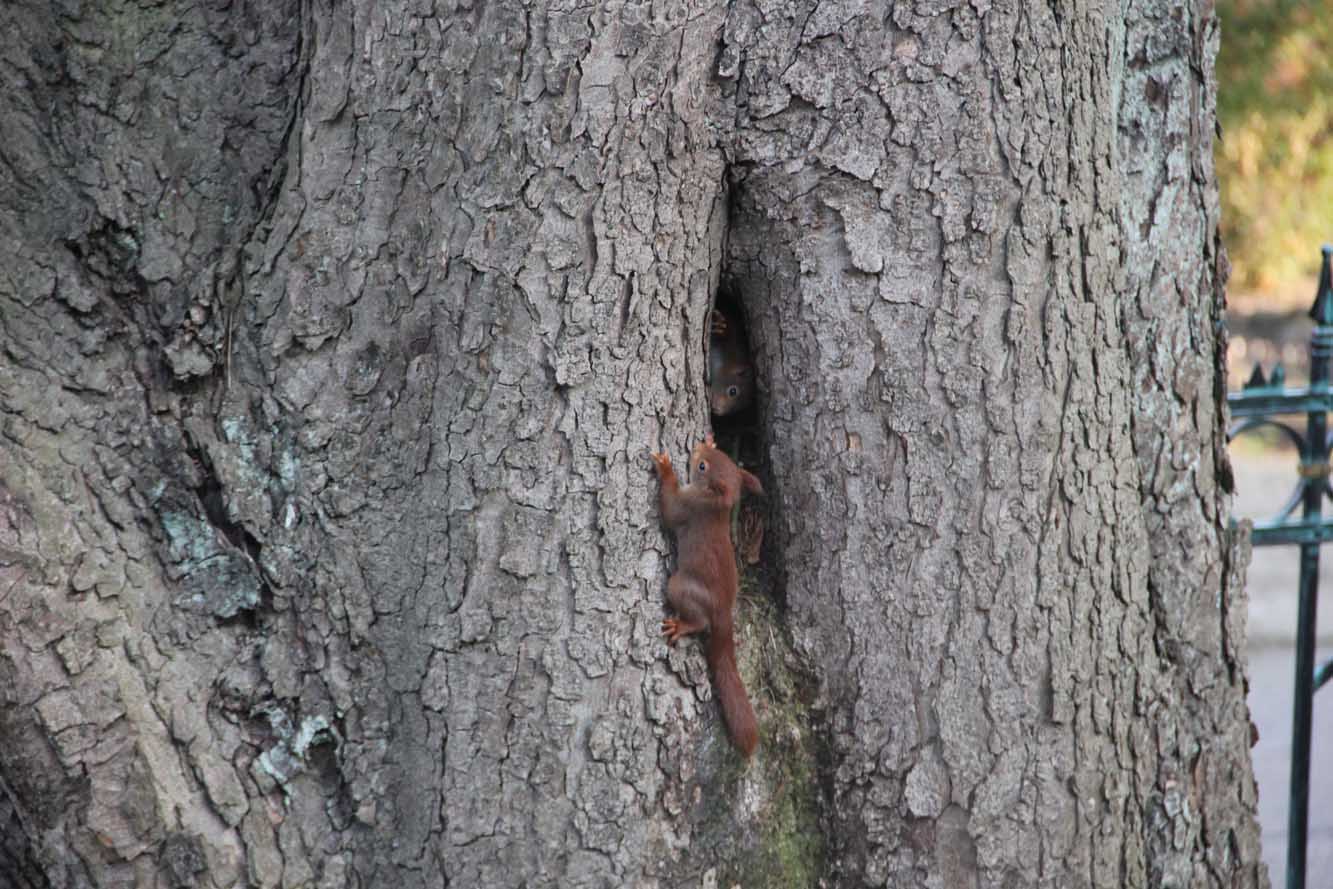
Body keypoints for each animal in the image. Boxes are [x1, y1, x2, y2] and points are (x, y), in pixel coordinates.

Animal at [653, 434, 767, 757]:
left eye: (702, 466)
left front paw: (666, 469)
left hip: (681, 587)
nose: (697, 447)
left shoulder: (688, 507)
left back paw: (681, 625)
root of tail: (723, 615)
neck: (715, 505)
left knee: (698, 621)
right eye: (721, 454)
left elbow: (669, 511)